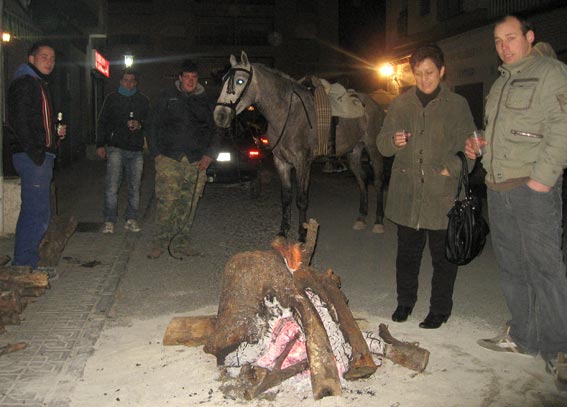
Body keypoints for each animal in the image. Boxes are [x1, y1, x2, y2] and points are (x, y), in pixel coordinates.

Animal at [214, 51, 386, 242]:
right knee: (362, 180)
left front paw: (302, 235)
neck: (288, 115)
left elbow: (301, 199)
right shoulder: (281, 163)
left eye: (239, 81)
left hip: (373, 150)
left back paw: (378, 222)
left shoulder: (303, 163)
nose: (220, 115)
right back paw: (361, 218)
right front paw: (283, 232)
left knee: (378, 181)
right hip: (354, 153)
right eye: (223, 79)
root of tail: (375, 105)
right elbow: (286, 198)